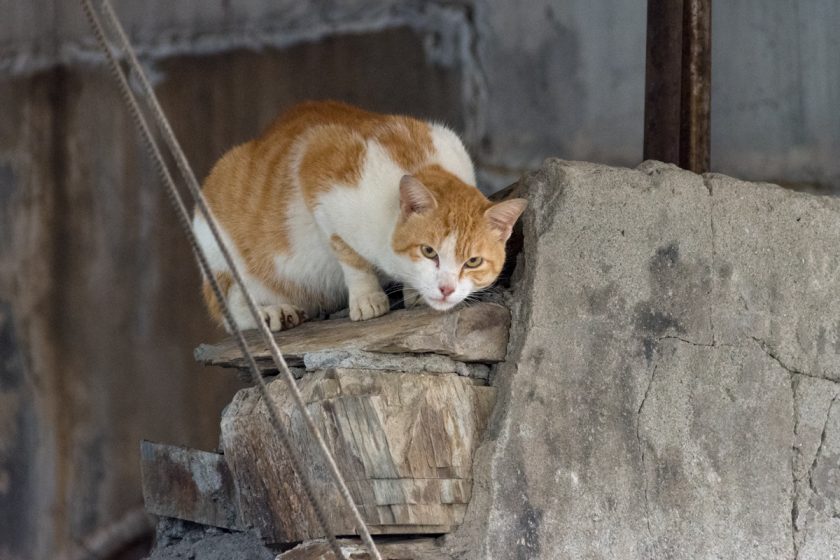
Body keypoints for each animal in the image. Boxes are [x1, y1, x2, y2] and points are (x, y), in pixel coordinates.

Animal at [194, 99, 528, 332]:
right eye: (428, 251)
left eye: (472, 262)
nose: (446, 289)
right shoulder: (317, 170)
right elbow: (349, 255)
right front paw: (368, 299)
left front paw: (414, 292)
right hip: (216, 246)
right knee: (232, 307)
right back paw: (270, 312)